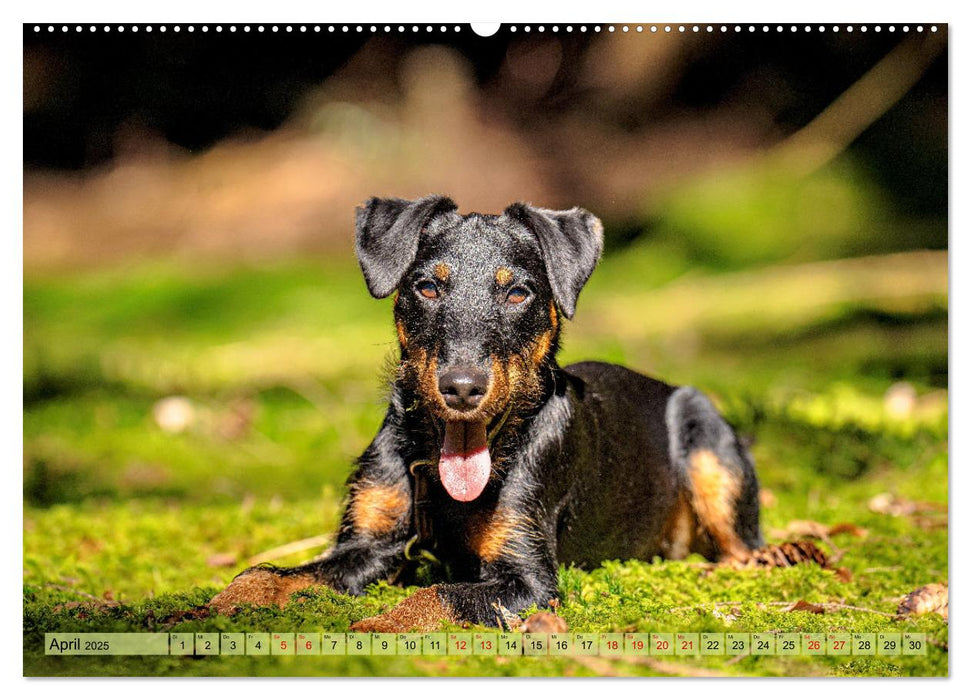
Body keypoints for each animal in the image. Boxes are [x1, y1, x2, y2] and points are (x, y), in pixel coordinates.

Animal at [211, 194, 768, 632]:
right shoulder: (368, 546)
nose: (462, 388)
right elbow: (273, 572)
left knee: (746, 550)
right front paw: (219, 603)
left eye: (518, 292)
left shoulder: (530, 579)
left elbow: (438, 593)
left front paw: (376, 626)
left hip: (713, 452)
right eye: (426, 287)